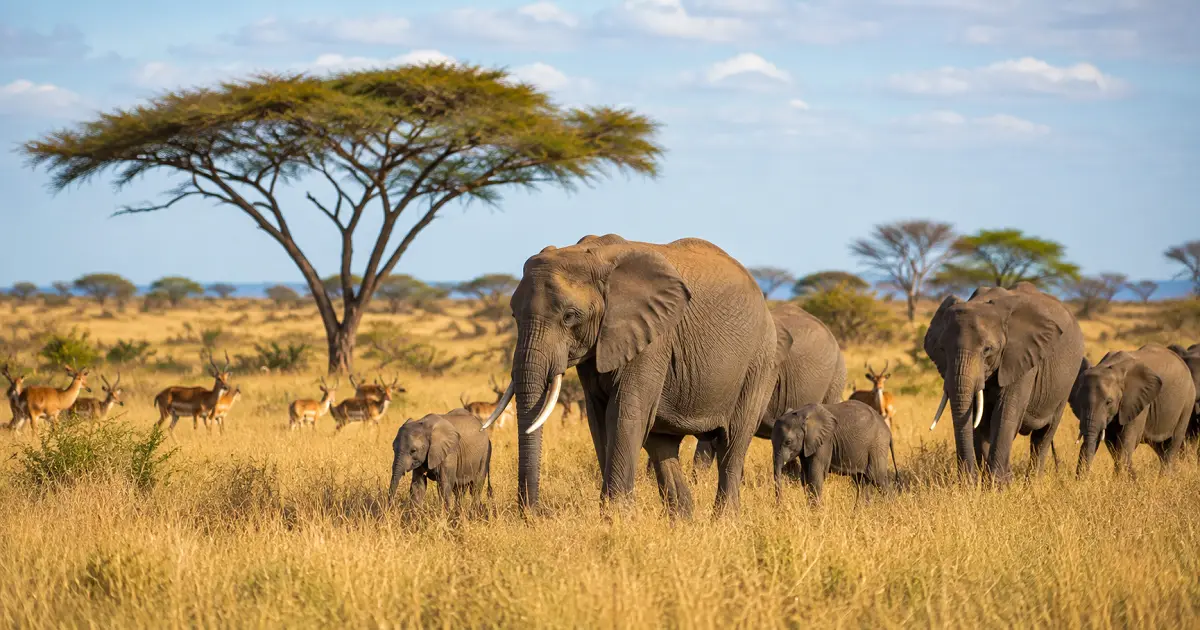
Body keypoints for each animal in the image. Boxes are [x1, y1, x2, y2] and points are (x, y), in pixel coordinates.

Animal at [482, 234, 782, 517]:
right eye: (514, 315)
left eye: (569, 316)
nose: (533, 514)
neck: (594, 256)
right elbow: (598, 416)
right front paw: (615, 515)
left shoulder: (653, 337)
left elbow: (623, 412)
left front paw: (615, 518)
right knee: (662, 446)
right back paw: (682, 521)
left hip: (759, 362)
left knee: (732, 443)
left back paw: (723, 521)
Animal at [924, 283, 1085, 483]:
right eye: (942, 349)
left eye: (988, 349)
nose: (968, 481)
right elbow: (980, 419)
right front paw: (986, 483)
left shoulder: (1022, 356)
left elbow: (1004, 413)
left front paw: (998, 484)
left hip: (1067, 382)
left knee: (1043, 436)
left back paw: (1032, 484)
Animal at [1072, 345, 1197, 477]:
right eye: (1079, 401)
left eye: (1109, 402)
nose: (1082, 479)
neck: (1111, 367)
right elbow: (1113, 443)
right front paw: (1131, 478)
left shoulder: (1138, 400)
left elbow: (1127, 440)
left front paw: (1121, 479)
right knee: (1159, 447)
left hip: (1187, 403)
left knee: (1173, 442)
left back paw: (1165, 478)